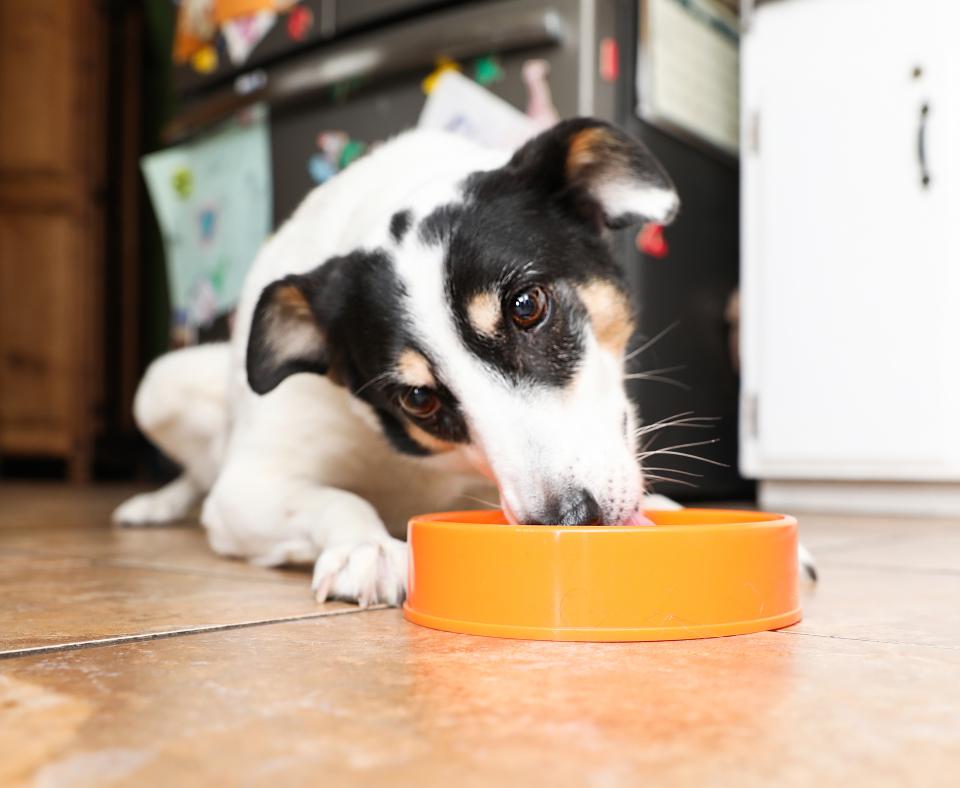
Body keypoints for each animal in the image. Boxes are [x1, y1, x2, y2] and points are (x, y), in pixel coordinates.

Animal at [114, 120, 804, 608]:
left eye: (527, 306)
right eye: (418, 400)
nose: (570, 521)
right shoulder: (245, 492)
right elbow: (332, 499)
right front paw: (367, 546)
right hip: (158, 387)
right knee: (200, 470)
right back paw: (157, 504)